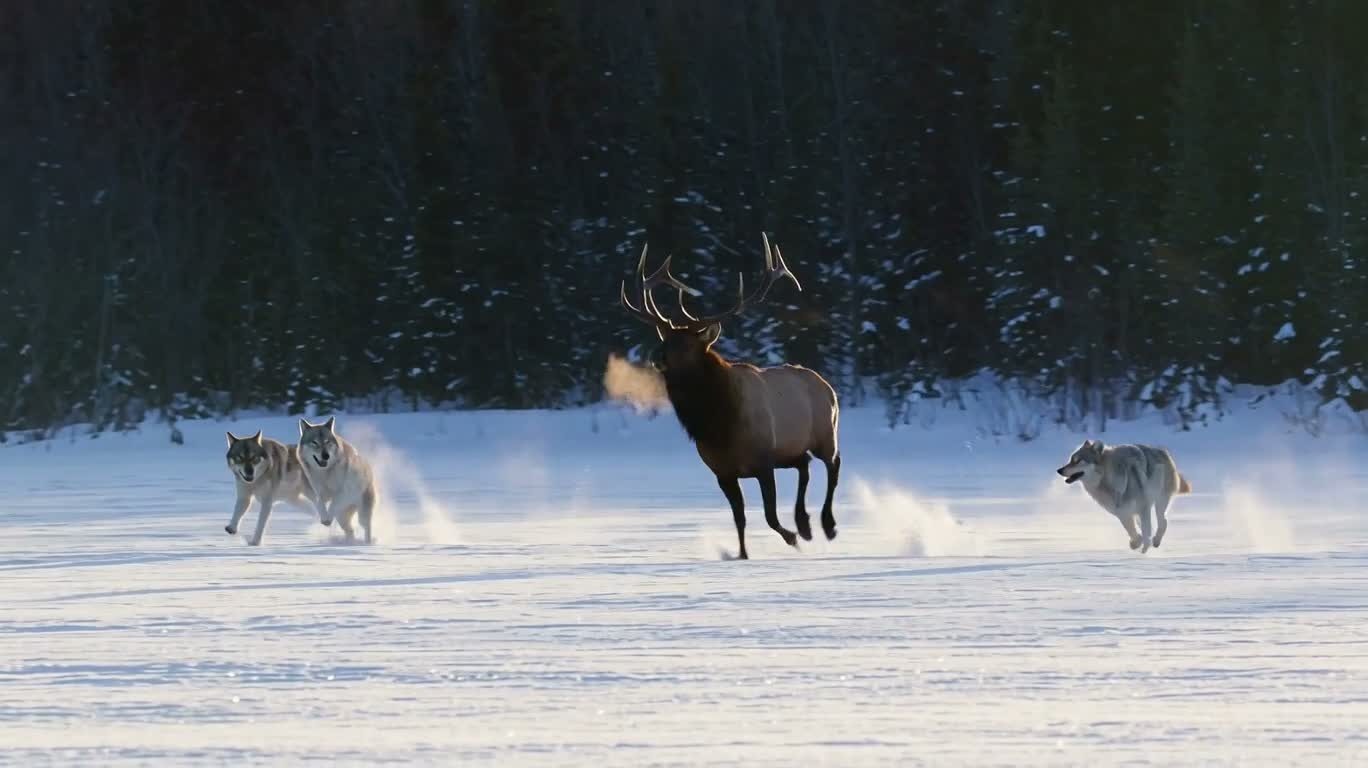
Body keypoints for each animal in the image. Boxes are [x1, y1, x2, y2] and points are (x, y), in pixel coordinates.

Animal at [619, 233, 842, 560]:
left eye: (686, 345)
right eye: (666, 338)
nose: (655, 357)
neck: (718, 427)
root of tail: (827, 384)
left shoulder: (763, 461)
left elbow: (769, 515)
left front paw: (791, 538)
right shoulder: (722, 472)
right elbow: (740, 517)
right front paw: (743, 554)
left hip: (826, 432)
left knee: (832, 464)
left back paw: (827, 525)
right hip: (790, 450)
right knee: (805, 466)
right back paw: (805, 524)